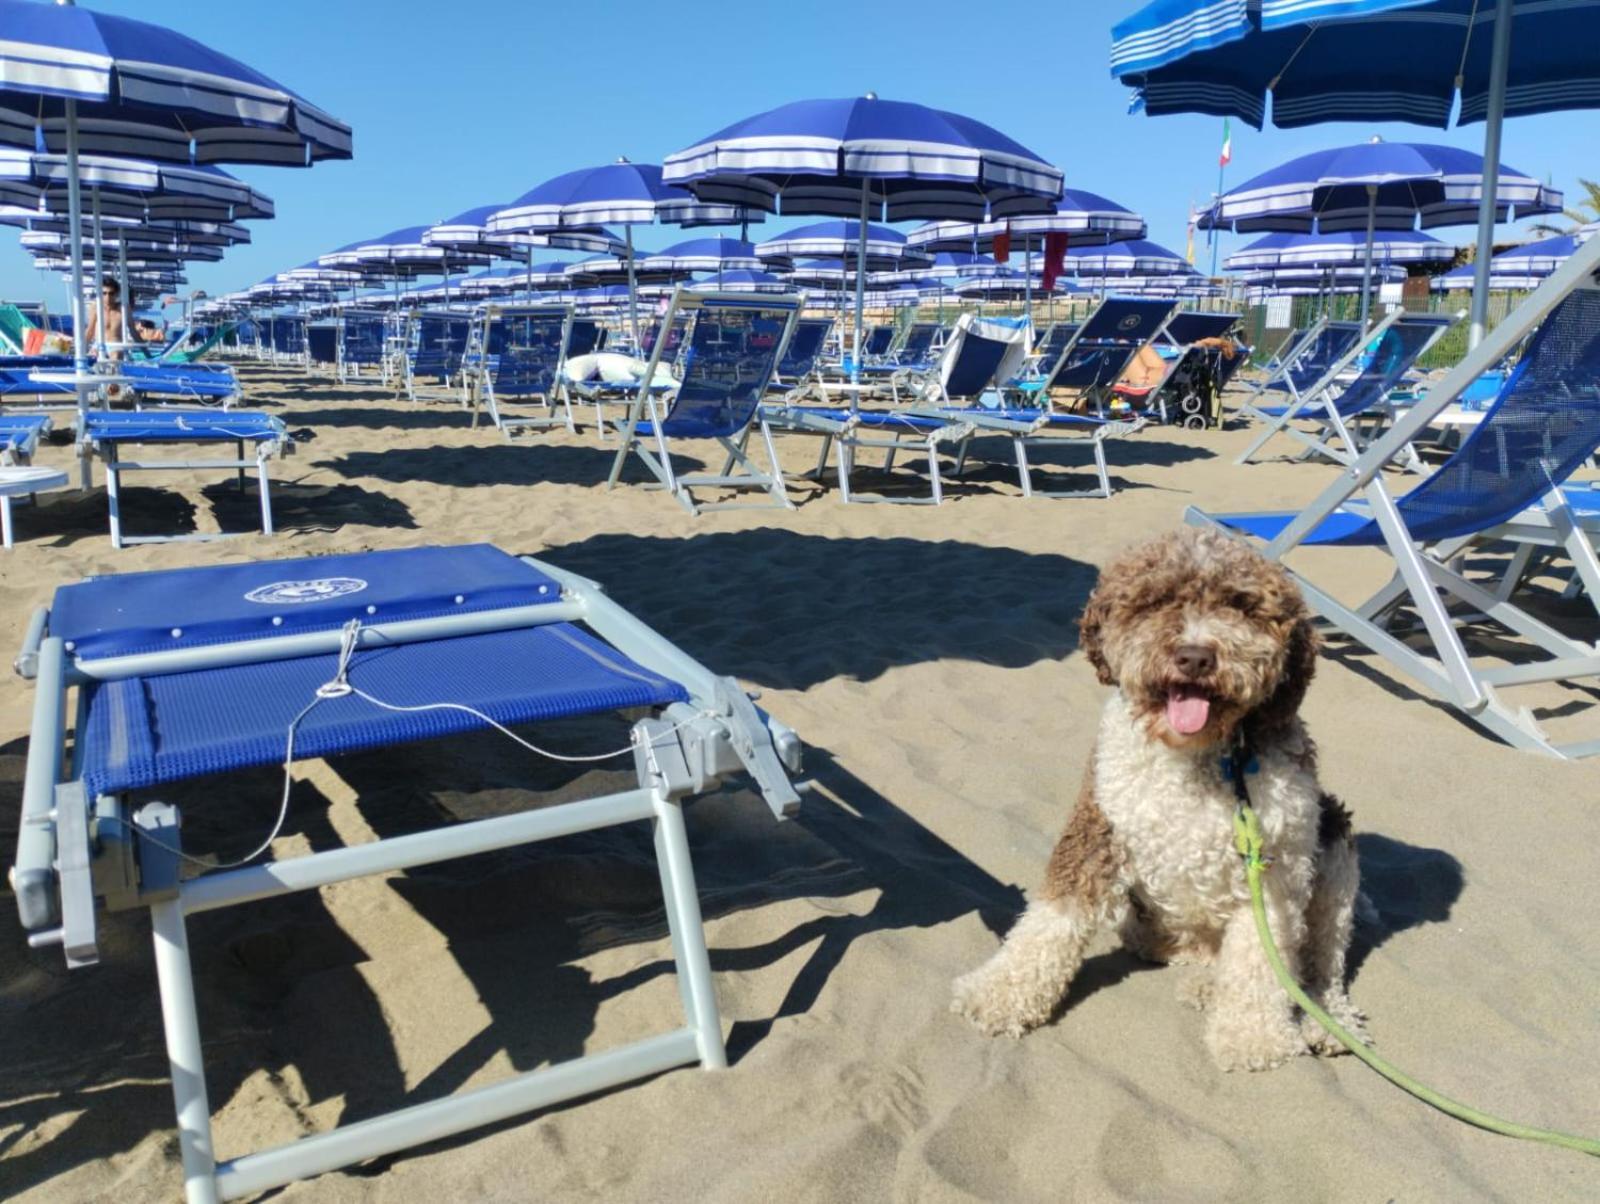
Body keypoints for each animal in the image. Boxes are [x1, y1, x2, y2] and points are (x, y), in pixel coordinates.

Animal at [947, 525, 1363, 1069]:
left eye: (1242, 606)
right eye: (1157, 600)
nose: (1195, 656)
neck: (1199, 754)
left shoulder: (1278, 865)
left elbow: (1260, 958)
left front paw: (1253, 1036)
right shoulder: (1098, 829)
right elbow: (1049, 924)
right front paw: (996, 993)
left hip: (1334, 848)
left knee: (1322, 961)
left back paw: (1327, 1019)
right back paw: (1206, 983)